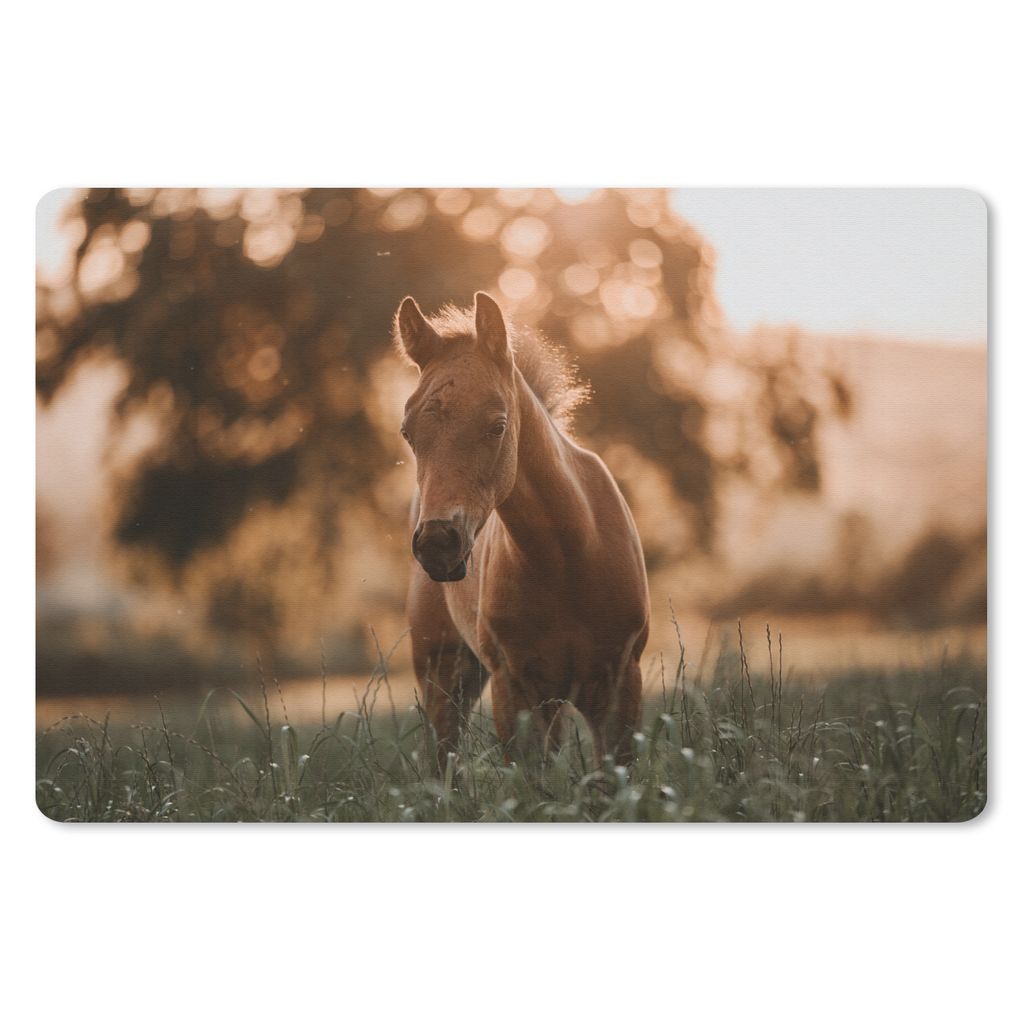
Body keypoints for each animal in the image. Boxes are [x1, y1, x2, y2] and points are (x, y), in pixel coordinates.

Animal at [395, 291, 649, 766]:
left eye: (497, 426)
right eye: (407, 432)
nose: (437, 544)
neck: (567, 558)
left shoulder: (620, 683)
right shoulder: (514, 692)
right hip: (443, 670)